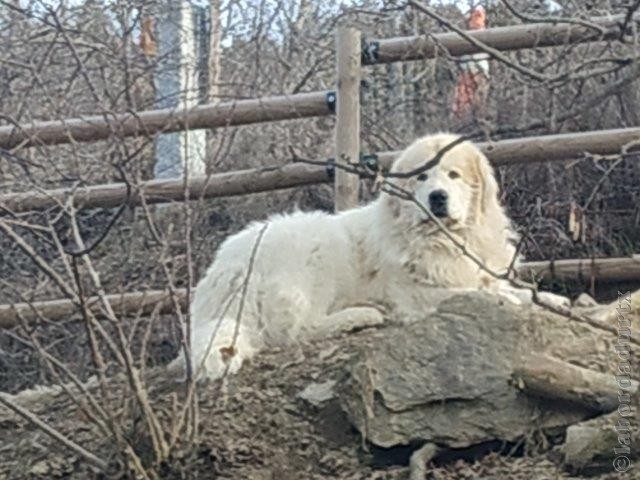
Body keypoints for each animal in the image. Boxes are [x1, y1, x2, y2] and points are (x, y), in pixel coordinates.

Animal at [188, 132, 532, 378]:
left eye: (453, 175)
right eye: (421, 177)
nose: (437, 197)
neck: (444, 240)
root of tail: (226, 268)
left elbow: (506, 289)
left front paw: (535, 298)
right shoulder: (414, 294)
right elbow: (475, 294)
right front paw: (507, 301)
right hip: (318, 249)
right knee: (297, 330)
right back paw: (362, 315)